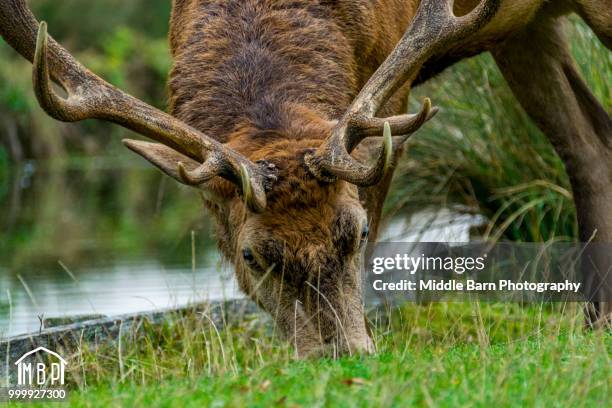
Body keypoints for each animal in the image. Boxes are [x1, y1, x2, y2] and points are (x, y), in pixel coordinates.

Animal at [0, 0, 608, 356]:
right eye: (252, 256)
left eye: (357, 233)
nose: (341, 356)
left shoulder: (394, 89)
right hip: (522, 28)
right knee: (588, 145)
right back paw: (595, 322)